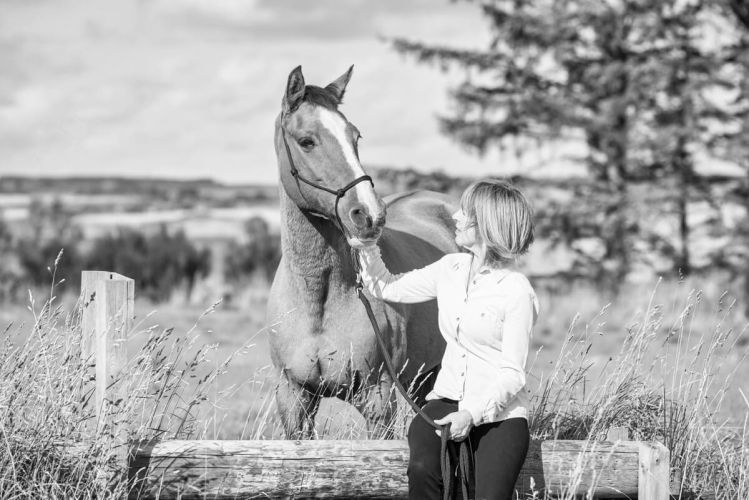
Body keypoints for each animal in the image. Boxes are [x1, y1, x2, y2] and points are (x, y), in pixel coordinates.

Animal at [266, 66, 458, 438]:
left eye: (355, 137)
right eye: (306, 141)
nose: (369, 214)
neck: (318, 297)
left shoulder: (377, 398)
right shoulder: (293, 399)